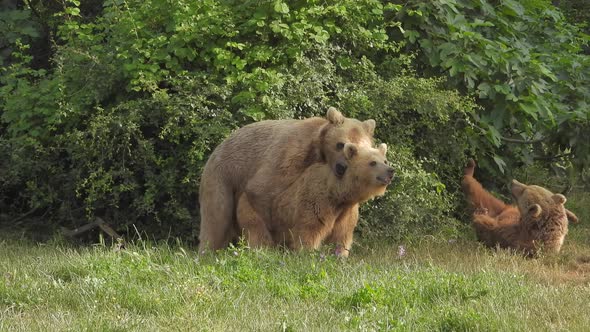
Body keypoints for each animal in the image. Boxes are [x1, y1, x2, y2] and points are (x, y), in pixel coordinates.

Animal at [199, 107, 374, 250]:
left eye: (360, 150)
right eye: (340, 144)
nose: (341, 167)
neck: (318, 151)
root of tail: (219, 146)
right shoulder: (290, 154)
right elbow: (261, 189)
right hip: (222, 175)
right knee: (216, 217)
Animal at [235, 143, 394, 256]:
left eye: (385, 160)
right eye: (373, 162)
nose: (391, 170)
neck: (337, 195)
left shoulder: (345, 212)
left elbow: (341, 236)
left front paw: (339, 255)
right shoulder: (315, 202)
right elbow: (309, 231)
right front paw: (307, 253)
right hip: (255, 210)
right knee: (257, 233)